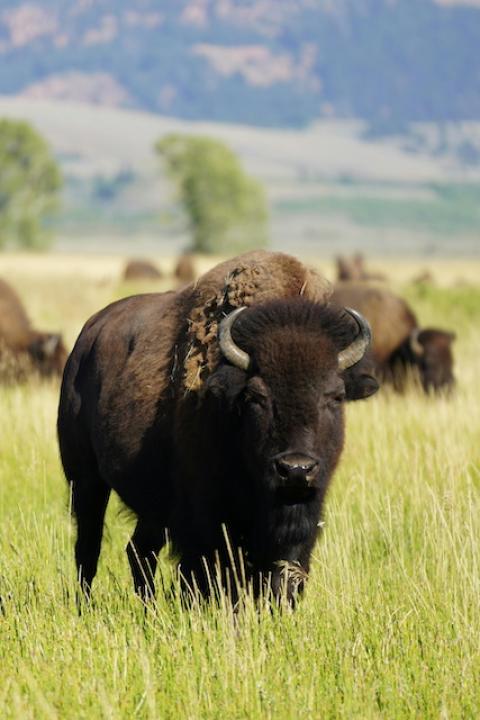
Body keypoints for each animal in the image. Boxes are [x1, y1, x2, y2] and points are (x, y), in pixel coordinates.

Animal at [58, 251, 378, 605]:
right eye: (255, 397)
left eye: (335, 396)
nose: (296, 469)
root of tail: (85, 341)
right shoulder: (206, 517)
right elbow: (213, 573)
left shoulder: (304, 512)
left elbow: (285, 572)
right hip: (85, 481)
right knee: (89, 546)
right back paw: (85, 605)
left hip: (149, 503)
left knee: (140, 549)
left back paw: (148, 606)